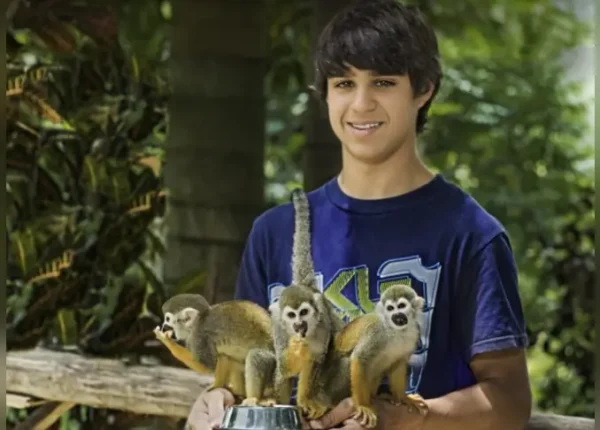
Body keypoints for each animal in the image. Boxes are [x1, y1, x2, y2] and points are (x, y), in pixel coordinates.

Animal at [268, 190, 346, 418]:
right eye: (291, 316)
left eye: (303, 312)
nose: (299, 325)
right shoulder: (278, 325)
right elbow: (284, 365)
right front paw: (296, 349)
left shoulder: (322, 325)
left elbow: (316, 360)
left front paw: (305, 400)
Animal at [336, 284, 428, 428]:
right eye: (390, 308)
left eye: (401, 306)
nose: (396, 315)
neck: (395, 330)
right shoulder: (376, 332)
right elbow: (360, 358)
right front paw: (363, 405)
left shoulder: (414, 333)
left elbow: (399, 363)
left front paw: (404, 398)